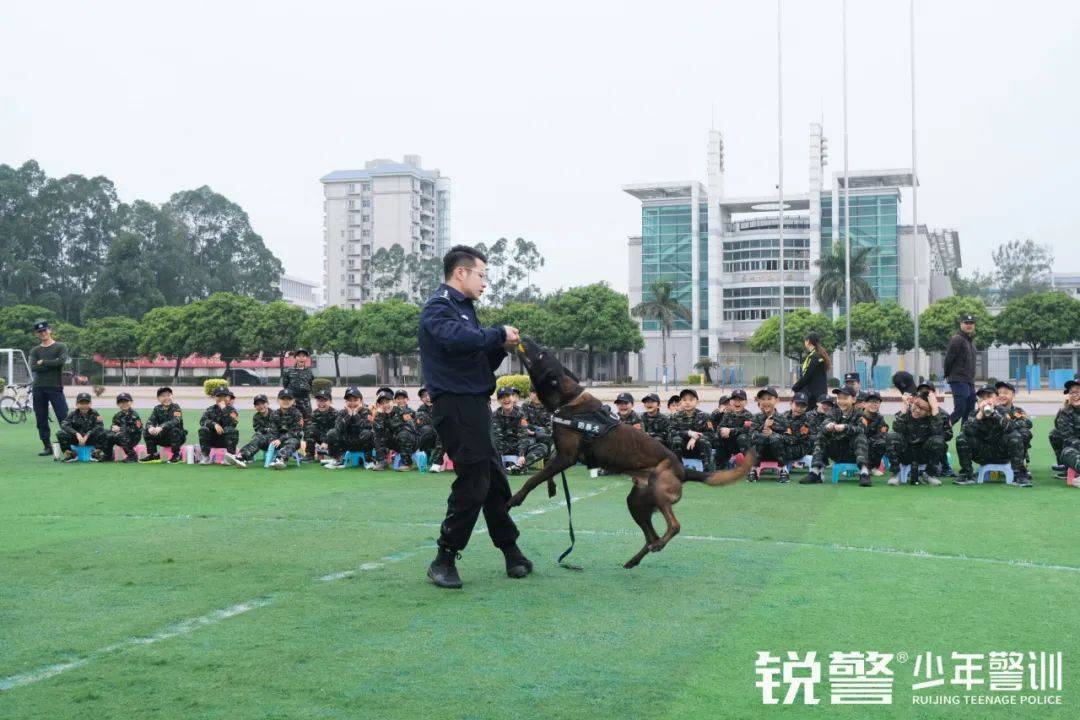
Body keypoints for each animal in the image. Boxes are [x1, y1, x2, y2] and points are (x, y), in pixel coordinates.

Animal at [509, 338, 756, 569]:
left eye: (542, 353)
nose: (525, 337)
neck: (567, 399)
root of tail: (683, 471)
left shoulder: (567, 457)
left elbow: (533, 479)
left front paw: (515, 498)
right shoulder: (560, 455)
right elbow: (546, 470)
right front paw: (551, 487)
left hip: (659, 488)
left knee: (674, 526)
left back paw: (658, 544)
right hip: (637, 502)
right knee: (651, 536)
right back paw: (635, 559)